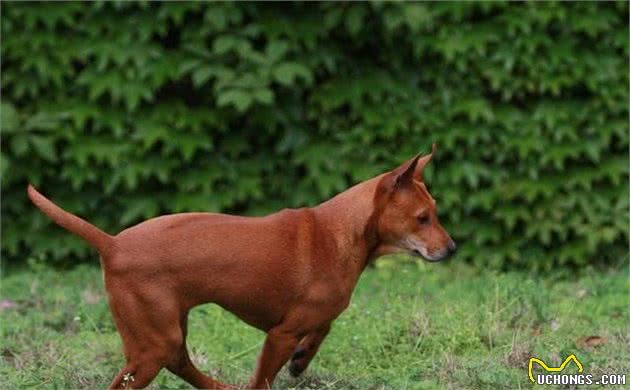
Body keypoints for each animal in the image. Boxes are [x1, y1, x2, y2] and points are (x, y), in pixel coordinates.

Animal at [29, 145, 456, 388]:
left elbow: (324, 327)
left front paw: (302, 360)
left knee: (182, 363)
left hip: (166, 331)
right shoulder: (280, 334)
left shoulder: (312, 318)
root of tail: (112, 243)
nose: (452, 249)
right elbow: (264, 378)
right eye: (422, 219)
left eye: (434, 212)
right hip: (153, 343)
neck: (339, 231)